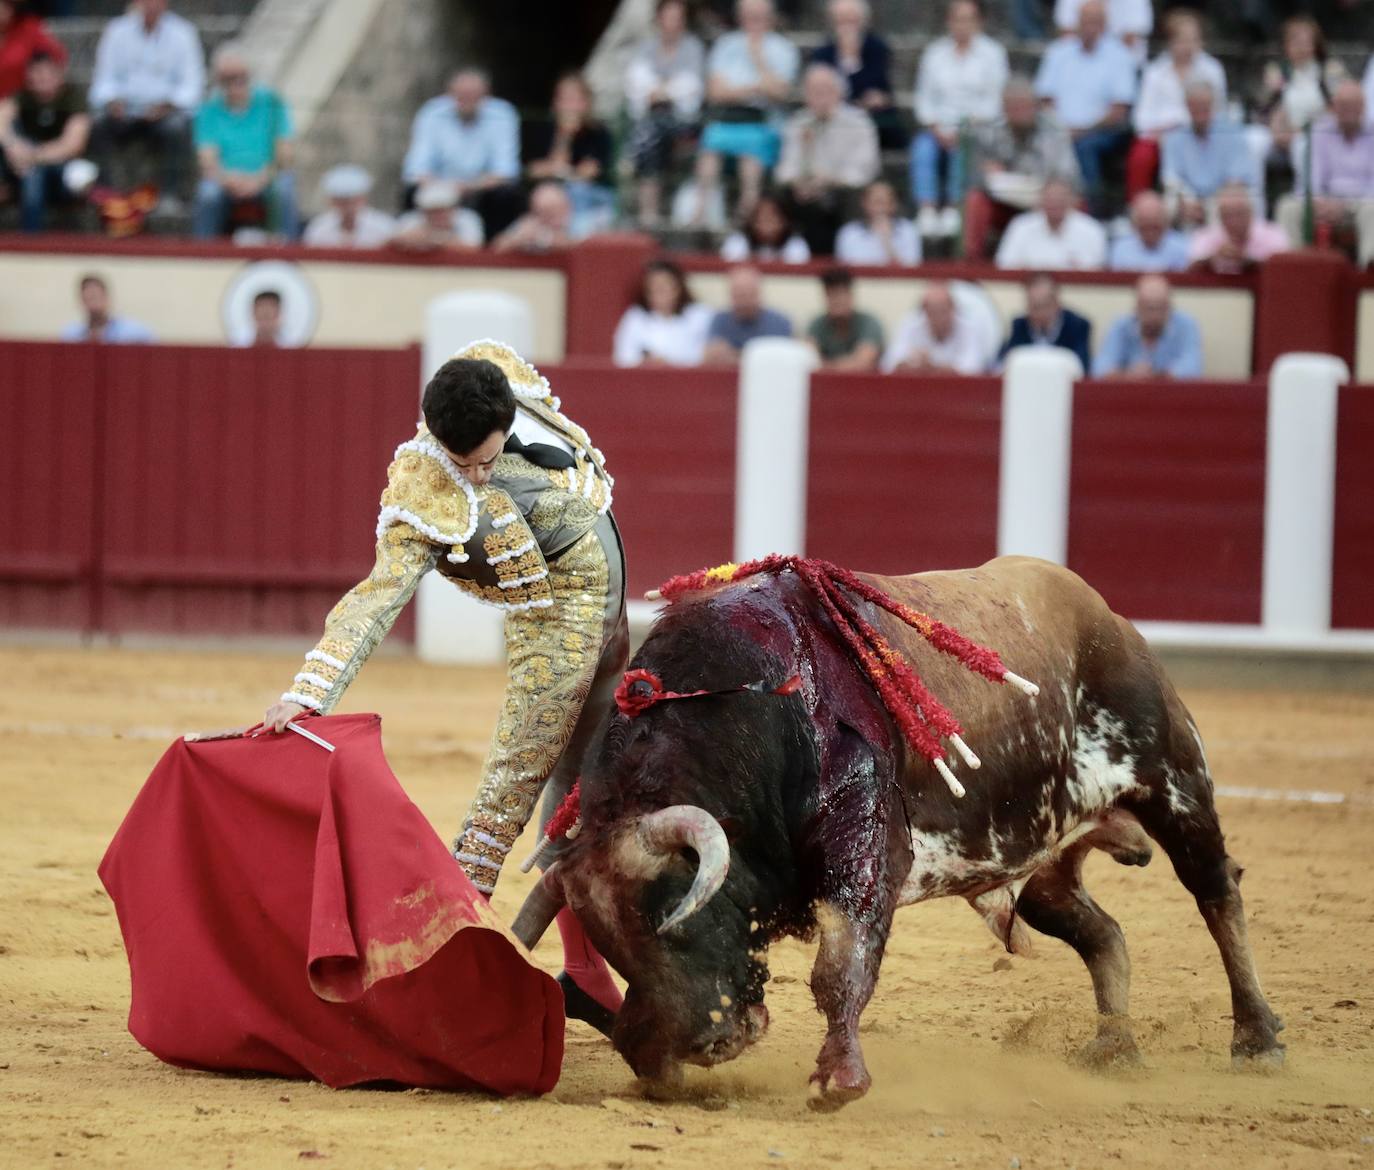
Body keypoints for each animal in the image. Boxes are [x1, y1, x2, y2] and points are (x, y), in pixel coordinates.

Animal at [511, 554, 1280, 1104]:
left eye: (676, 913)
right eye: (611, 944)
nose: (691, 1046)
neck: (747, 710)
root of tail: (1103, 612)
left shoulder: (866, 852)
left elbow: (840, 965)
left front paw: (839, 1080)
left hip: (1174, 779)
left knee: (1216, 892)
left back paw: (1258, 1039)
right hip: (1037, 865)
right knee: (1103, 932)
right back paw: (1114, 1048)